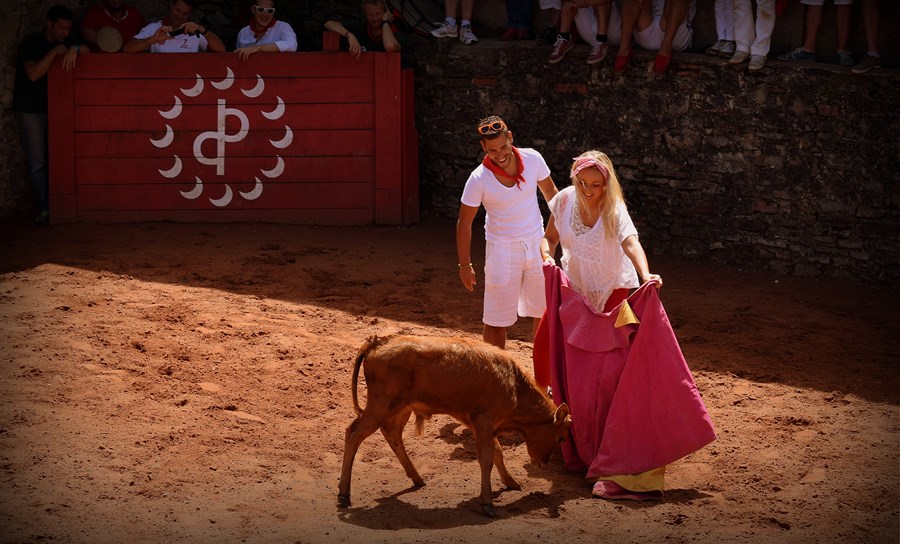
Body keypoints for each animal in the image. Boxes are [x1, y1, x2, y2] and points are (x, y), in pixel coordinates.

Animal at [337, 334, 571, 517]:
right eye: (561, 438)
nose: (543, 465)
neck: (514, 385)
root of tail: (378, 342)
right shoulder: (483, 421)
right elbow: (486, 459)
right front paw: (487, 502)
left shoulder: (486, 426)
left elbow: (497, 453)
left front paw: (510, 482)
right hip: (382, 405)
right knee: (354, 433)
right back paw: (343, 494)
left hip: (401, 407)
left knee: (392, 433)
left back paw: (417, 478)